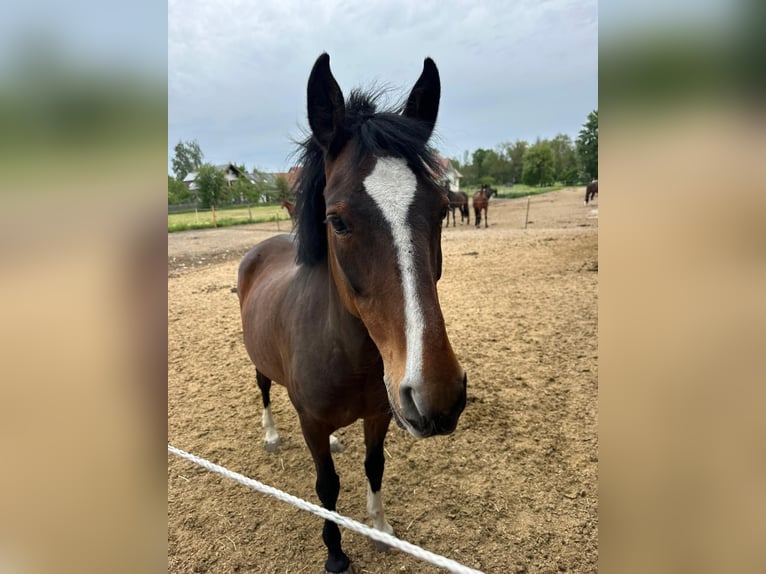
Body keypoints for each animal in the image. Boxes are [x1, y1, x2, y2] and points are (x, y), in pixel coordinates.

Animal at [237, 54, 467, 574]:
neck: (348, 355)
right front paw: (336, 552)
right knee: (264, 389)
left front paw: (380, 531)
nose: (438, 394)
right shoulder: (312, 424)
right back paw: (271, 435)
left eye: (443, 209)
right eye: (337, 220)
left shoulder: (380, 414)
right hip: (259, 364)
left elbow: (373, 467)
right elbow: (327, 487)